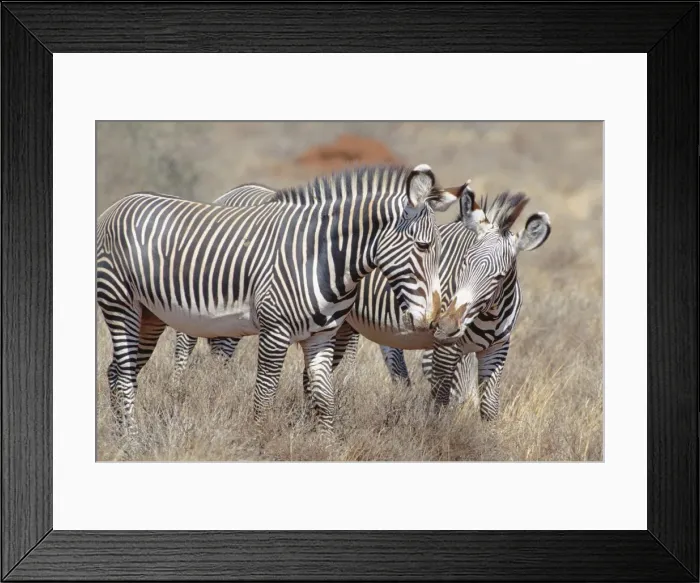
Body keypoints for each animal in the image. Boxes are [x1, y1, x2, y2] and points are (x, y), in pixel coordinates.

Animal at [96, 163, 462, 435]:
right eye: (424, 247)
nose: (434, 319)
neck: (320, 258)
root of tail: (117, 206)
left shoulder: (321, 337)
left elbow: (324, 399)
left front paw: (325, 446)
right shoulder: (275, 331)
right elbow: (264, 395)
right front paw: (259, 443)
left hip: (149, 316)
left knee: (117, 372)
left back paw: (122, 437)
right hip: (120, 305)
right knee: (125, 375)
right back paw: (134, 441)